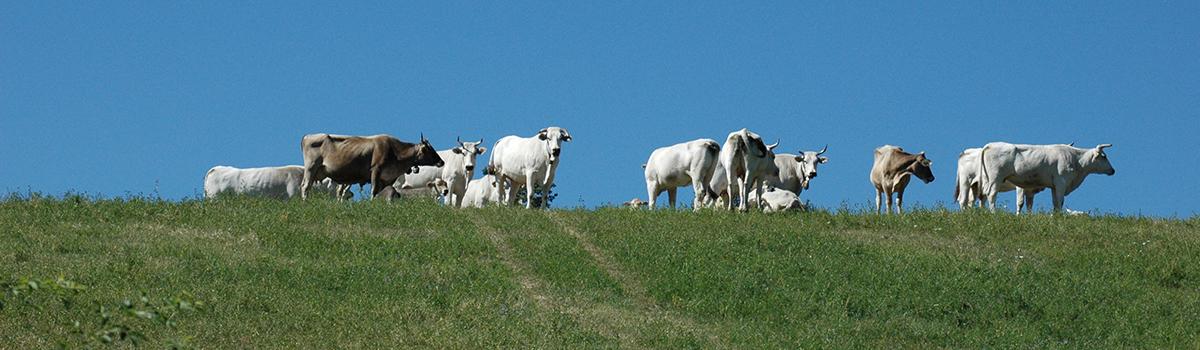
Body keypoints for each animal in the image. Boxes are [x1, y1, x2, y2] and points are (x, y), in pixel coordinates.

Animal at [300, 133, 446, 200]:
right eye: (429, 150)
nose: (441, 162)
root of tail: (307, 136)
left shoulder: (386, 179)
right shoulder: (376, 170)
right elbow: (374, 190)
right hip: (311, 167)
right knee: (305, 186)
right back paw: (305, 202)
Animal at [974, 142, 1113, 213]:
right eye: (1104, 156)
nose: (1113, 170)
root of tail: (990, 145)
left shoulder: (1054, 186)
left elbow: (1055, 203)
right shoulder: (1061, 182)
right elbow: (1060, 202)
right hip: (996, 177)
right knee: (991, 194)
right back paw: (993, 213)